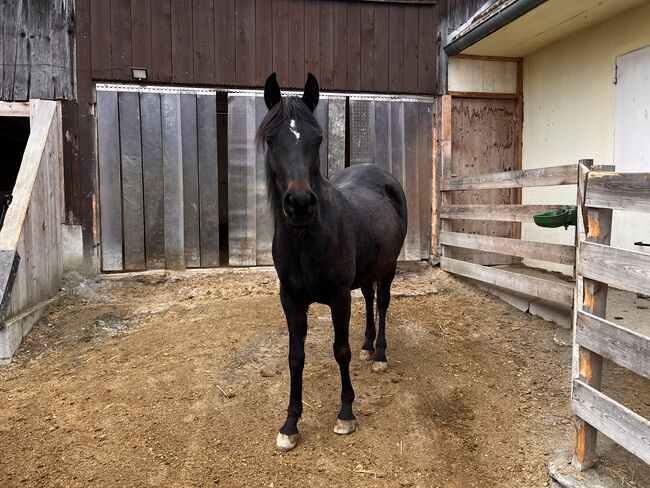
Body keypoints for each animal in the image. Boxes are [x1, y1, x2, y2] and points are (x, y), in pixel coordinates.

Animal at [256, 71, 404, 450]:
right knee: (368, 298)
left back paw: (380, 354)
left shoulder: (338, 298)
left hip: (389, 266)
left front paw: (346, 413)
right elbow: (295, 357)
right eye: (271, 140)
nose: (300, 204)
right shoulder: (291, 300)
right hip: (367, 271)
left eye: (318, 139)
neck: (307, 239)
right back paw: (368, 345)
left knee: (382, 303)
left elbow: (341, 350)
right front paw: (290, 424)